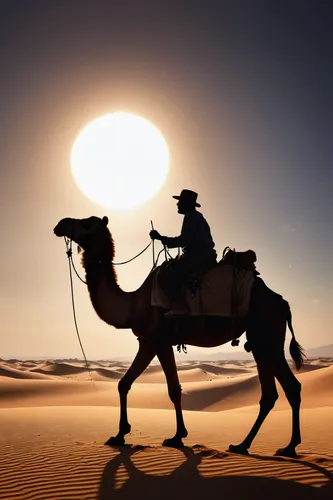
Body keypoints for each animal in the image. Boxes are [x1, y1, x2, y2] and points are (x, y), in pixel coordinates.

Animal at [53, 215, 304, 458]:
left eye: (86, 223)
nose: (60, 224)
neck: (132, 303)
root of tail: (283, 302)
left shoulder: (160, 341)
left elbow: (173, 389)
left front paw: (177, 436)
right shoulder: (146, 342)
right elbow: (124, 383)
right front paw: (119, 434)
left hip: (264, 335)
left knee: (274, 390)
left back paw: (249, 445)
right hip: (265, 341)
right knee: (285, 389)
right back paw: (279, 446)